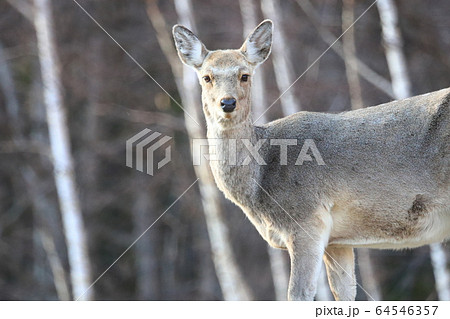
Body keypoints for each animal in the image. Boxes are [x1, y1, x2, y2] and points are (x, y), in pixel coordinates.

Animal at [172, 20, 450, 302]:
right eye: (207, 77)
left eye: (245, 75)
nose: (227, 103)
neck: (260, 177)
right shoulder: (338, 240)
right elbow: (344, 293)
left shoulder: (305, 218)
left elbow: (299, 293)